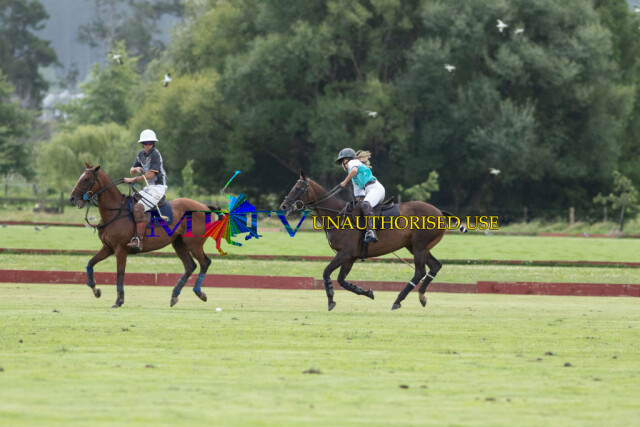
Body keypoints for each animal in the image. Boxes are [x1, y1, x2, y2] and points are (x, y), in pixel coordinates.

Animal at [68, 161, 216, 308]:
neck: (114, 211)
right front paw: (96, 290)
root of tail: (205, 206)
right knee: (190, 266)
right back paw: (174, 296)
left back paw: (199, 293)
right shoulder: (108, 247)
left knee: (204, 262)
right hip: (178, 243)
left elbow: (120, 274)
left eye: (86, 179)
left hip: (194, 244)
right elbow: (90, 263)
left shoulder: (121, 249)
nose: (71, 199)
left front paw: (118, 301)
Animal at [280, 171, 465, 311]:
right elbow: (342, 280)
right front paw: (368, 292)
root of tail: (440, 212)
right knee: (435, 266)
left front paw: (331, 300)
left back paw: (398, 301)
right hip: (416, 247)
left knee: (420, 272)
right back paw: (422, 296)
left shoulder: (344, 253)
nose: (283, 206)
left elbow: (326, 272)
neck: (337, 215)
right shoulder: (350, 258)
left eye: (298, 188)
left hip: (419, 247)